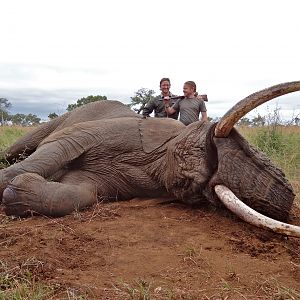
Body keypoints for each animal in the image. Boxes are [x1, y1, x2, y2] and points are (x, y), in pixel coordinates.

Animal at [0, 81, 300, 237]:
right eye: (208, 143)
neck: (160, 154)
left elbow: (82, 193)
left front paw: (16, 193)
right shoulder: (119, 129)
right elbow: (62, 145)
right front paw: (8, 183)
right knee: (23, 146)